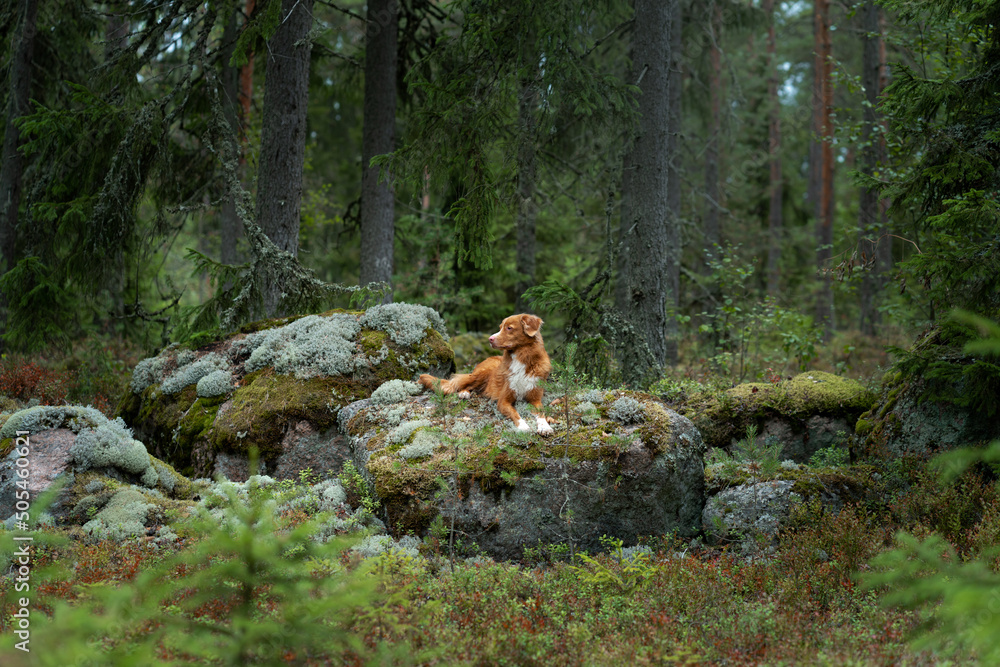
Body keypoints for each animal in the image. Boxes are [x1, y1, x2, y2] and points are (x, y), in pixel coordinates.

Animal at [416, 316, 556, 436]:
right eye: (500, 327)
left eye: (509, 328)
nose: (490, 339)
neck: (522, 357)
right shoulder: (503, 401)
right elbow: (515, 414)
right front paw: (523, 426)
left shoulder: (535, 399)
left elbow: (542, 413)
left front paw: (545, 427)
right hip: (480, 374)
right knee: (458, 383)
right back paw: (464, 393)